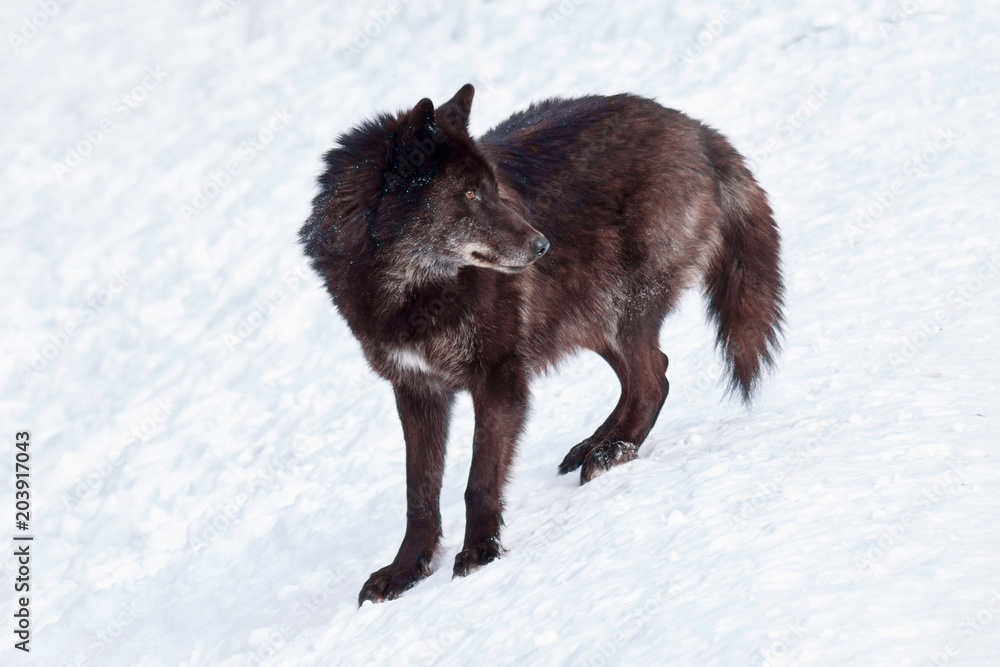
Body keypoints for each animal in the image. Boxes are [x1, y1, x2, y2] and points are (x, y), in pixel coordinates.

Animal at [299, 84, 784, 605]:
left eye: (493, 188)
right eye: (469, 194)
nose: (542, 247)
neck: (412, 292)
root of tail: (696, 127)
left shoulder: (499, 378)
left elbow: (478, 482)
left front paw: (480, 553)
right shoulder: (416, 390)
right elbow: (419, 495)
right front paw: (406, 571)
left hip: (618, 310)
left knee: (653, 379)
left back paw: (611, 454)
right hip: (587, 319)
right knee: (653, 372)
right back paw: (596, 444)